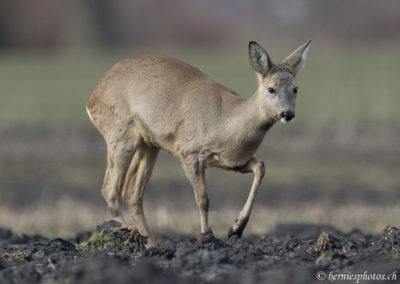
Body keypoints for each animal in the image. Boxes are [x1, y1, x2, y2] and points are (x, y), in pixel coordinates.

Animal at [86, 40, 312, 246]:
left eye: (295, 88)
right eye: (271, 89)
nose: (287, 113)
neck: (226, 121)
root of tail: (91, 99)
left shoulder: (233, 161)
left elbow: (260, 167)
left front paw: (236, 228)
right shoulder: (189, 153)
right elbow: (203, 199)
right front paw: (207, 236)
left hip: (149, 143)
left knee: (132, 193)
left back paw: (151, 244)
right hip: (119, 133)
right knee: (110, 190)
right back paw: (127, 237)